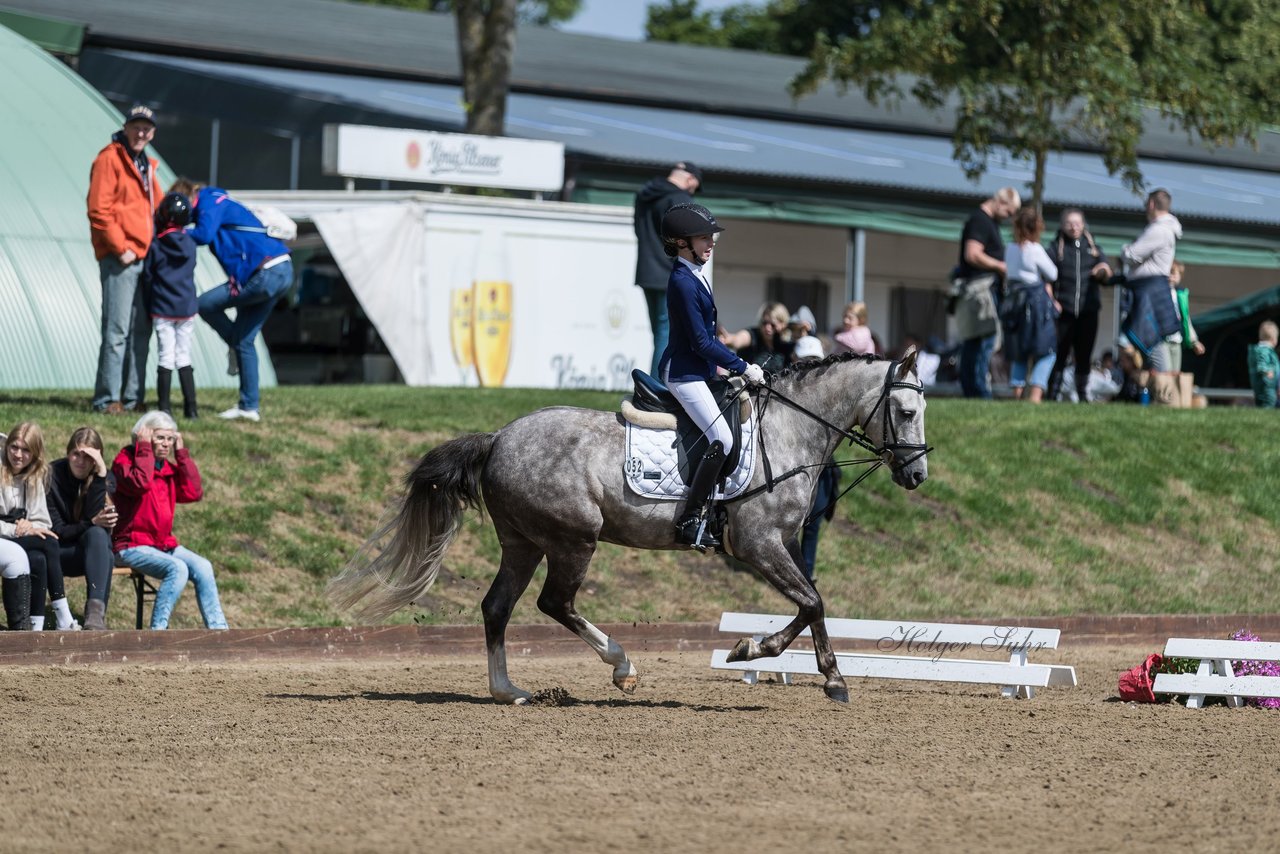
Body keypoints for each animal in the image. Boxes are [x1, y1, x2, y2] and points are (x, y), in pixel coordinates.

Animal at [332, 348, 931, 701]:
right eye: (906, 413)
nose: (917, 474)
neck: (787, 432)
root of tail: (498, 437)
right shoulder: (758, 544)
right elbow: (812, 602)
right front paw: (783, 661)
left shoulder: (781, 545)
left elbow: (810, 602)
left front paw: (795, 663)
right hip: (573, 539)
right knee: (555, 603)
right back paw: (622, 667)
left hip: (523, 541)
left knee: (497, 606)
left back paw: (508, 690)